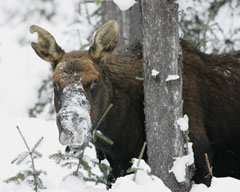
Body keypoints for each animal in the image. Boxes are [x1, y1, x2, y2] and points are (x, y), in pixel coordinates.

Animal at [30, 20, 240, 187]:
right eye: (55, 84)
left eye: (94, 81)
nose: (71, 129)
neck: (121, 137)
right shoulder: (114, 167)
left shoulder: (202, 161)